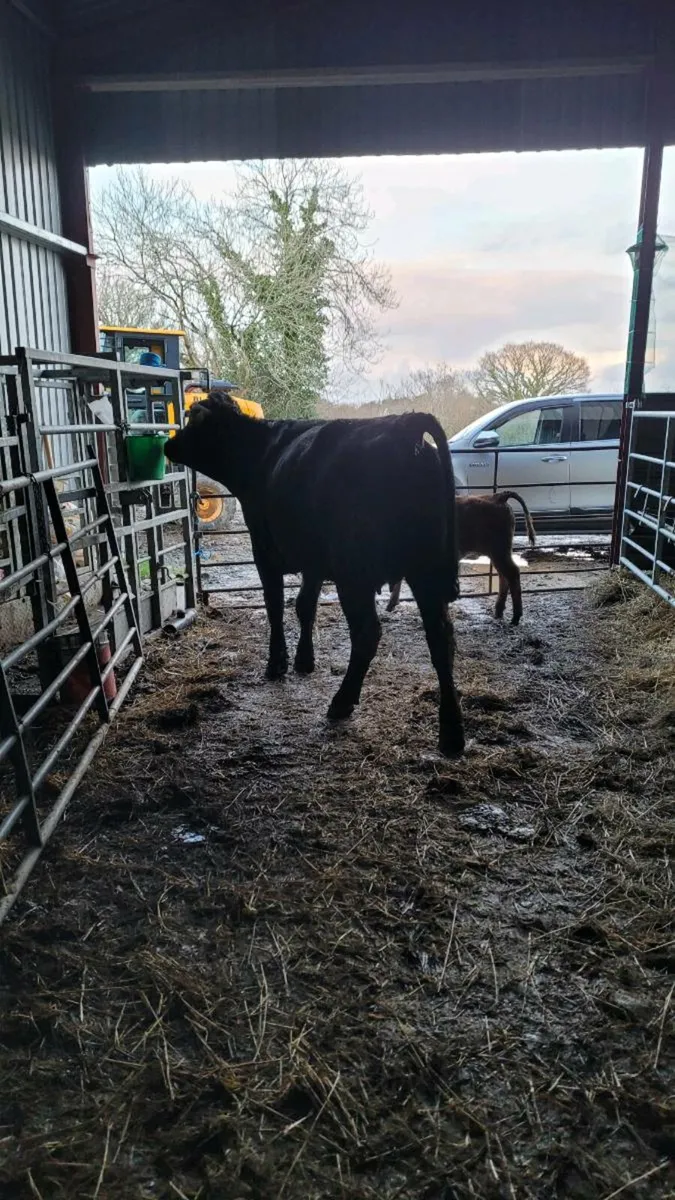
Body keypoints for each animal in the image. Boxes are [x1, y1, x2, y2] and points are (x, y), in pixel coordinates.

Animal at [164, 392, 465, 757]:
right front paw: (304, 660)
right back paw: (452, 733)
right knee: (441, 639)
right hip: (427, 571)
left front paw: (277, 663)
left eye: (193, 417)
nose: (168, 443)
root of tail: (404, 425)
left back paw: (342, 702)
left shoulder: (264, 550)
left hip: (356, 574)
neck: (260, 452)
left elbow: (276, 606)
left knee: (367, 633)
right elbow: (304, 605)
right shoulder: (314, 562)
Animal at [385, 490, 536, 625]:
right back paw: (499, 612)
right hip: (497, 554)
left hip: (500, 552)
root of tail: (498, 497)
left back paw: (515, 618)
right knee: (503, 576)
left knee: (512, 573)